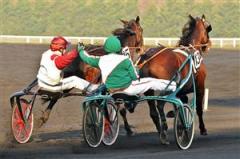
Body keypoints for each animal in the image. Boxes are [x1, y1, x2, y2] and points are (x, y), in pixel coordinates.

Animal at [133, 14, 212, 144]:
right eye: (207, 30)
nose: (208, 44)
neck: (192, 50)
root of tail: (148, 57)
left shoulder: (180, 90)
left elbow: (180, 103)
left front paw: (178, 120)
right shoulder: (200, 86)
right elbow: (199, 108)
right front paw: (203, 129)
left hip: (148, 89)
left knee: (153, 112)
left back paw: (160, 131)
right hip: (166, 87)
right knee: (160, 105)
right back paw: (164, 131)